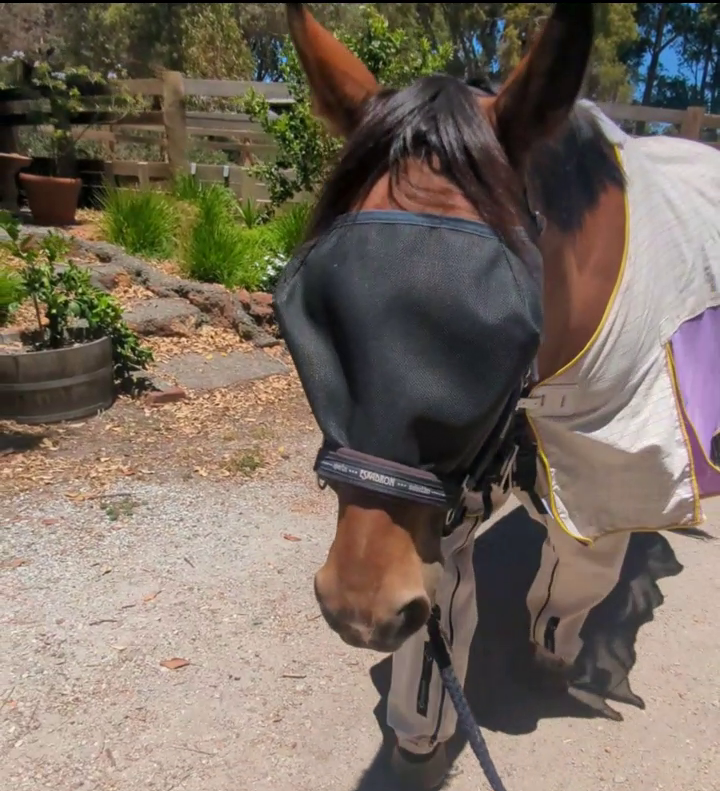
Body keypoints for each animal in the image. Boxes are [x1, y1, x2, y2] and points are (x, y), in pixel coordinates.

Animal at [274, 3, 720, 788]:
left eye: (506, 326)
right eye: (306, 309)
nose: (358, 608)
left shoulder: (604, 477)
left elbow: (572, 584)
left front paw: (556, 662)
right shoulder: (444, 498)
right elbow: (439, 624)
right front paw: (420, 742)